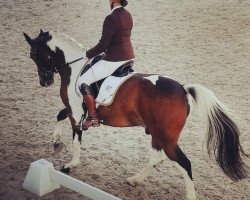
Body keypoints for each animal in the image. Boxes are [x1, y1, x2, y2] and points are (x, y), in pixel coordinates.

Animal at [23, 30, 248, 200]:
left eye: (34, 54)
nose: (45, 81)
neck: (74, 66)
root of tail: (183, 89)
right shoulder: (72, 109)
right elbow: (59, 115)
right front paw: (56, 140)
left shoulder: (76, 112)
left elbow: (75, 138)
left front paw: (70, 164)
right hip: (157, 133)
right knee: (157, 158)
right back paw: (135, 179)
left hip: (167, 138)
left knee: (184, 164)